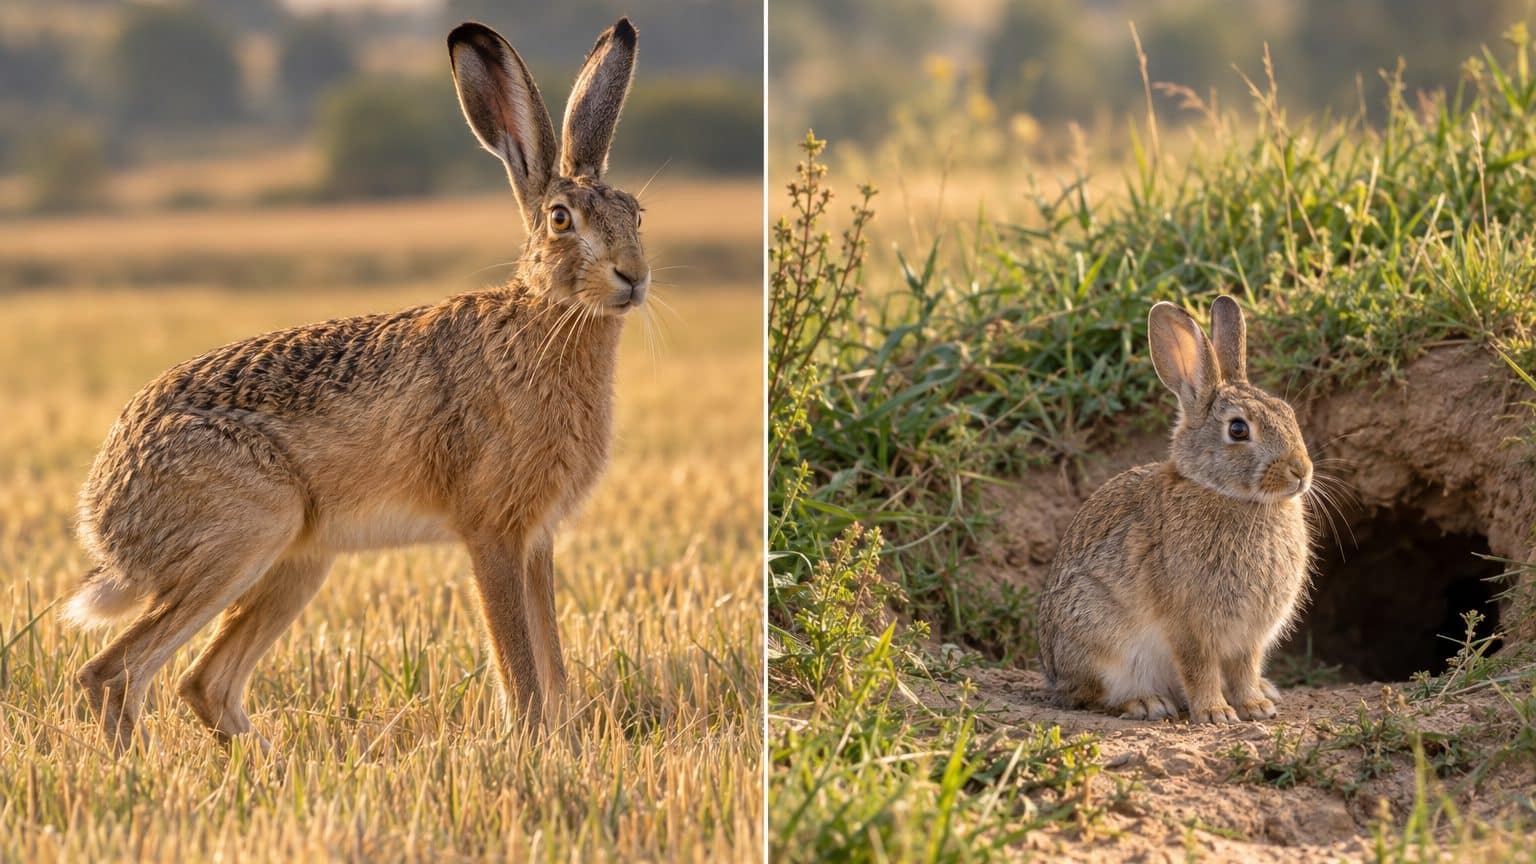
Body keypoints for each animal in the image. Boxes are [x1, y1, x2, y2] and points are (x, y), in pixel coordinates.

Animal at [64, 18, 648, 753]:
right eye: (561, 219)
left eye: (637, 214)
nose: (633, 277)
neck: (546, 315)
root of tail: (104, 510)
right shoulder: (492, 532)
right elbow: (521, 667)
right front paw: (529, 750)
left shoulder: (536, 540)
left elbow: (554, 665)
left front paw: (563, 749)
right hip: (242, 536)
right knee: (113, 672)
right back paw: (142, 768)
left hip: (297, 561)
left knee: (203, 683)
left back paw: (270, 763)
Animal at [1037, 295, 1313, 724]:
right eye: (1238, 430)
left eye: (1288, 413)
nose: (1301, 471)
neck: (1226, 494)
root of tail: (1054, 675)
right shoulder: (1189, 624)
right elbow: (1199, 668)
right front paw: (1216, 713)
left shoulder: (1248, 635)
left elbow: (1245, 668)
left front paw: (1255, 705)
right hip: (1097, 634)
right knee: (1094, 693)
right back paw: (1146, 702)